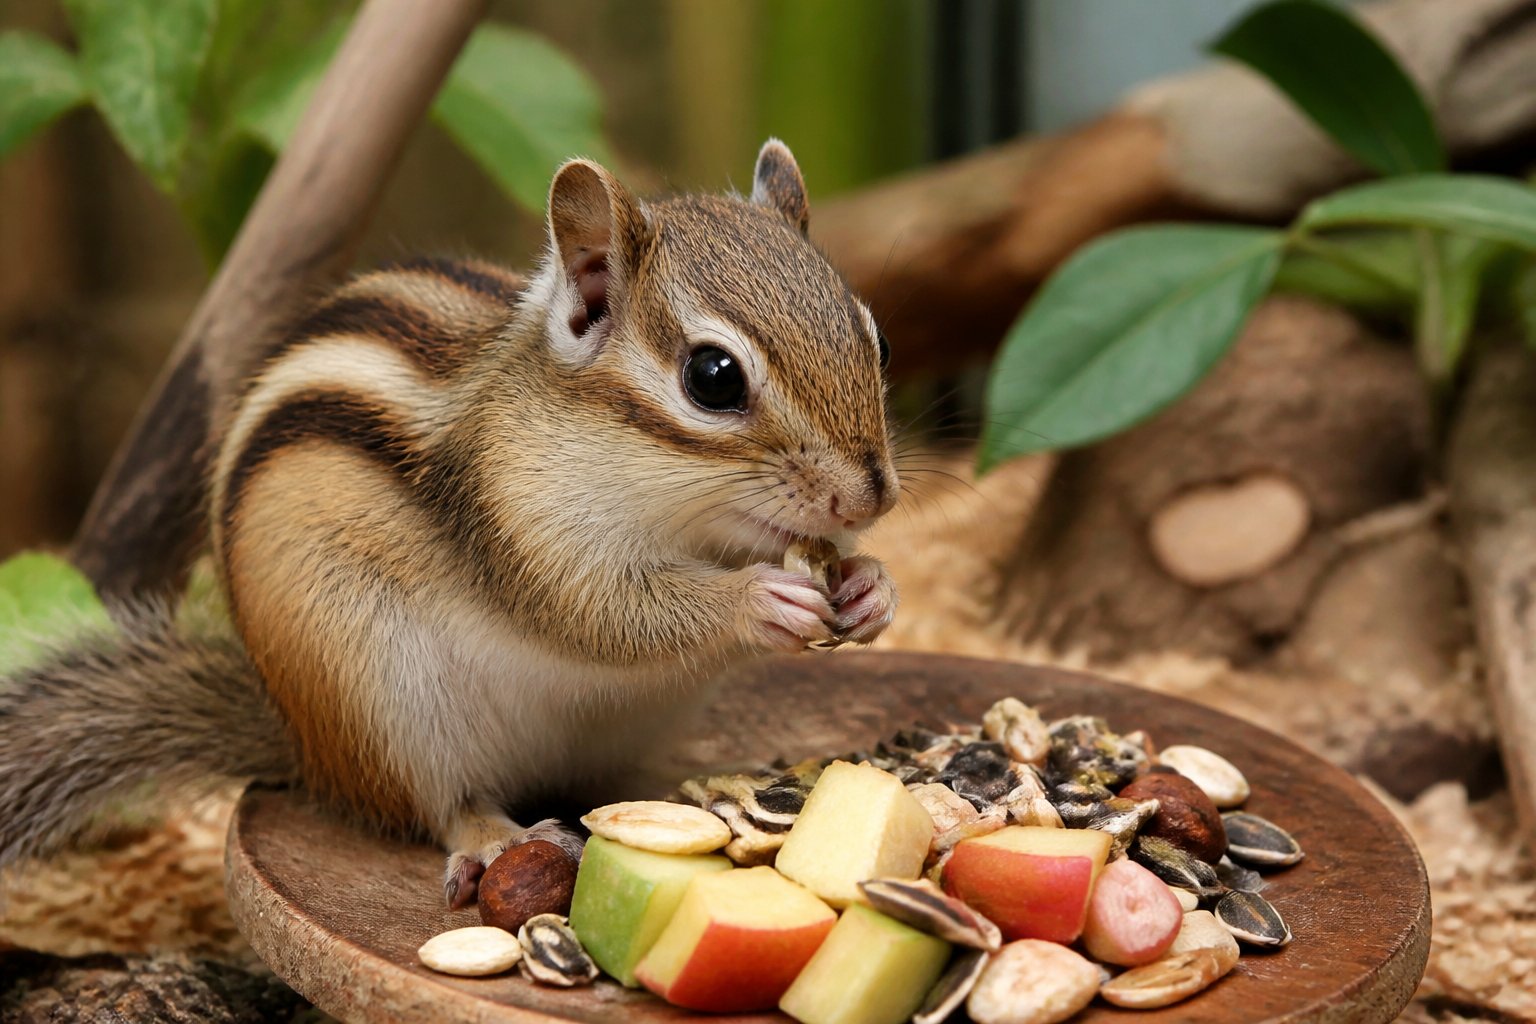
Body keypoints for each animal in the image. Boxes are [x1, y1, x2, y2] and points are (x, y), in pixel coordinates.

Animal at [0, 140, 900, 908]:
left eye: (878, 340)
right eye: (712, 377)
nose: (870, 500)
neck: (680, 509)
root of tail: (306, 746)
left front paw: (870, 589)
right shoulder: (519, 525)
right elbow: (606, 616)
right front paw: (757, 601)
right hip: (382, 699)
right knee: (443, 801)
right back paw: (497, 839)